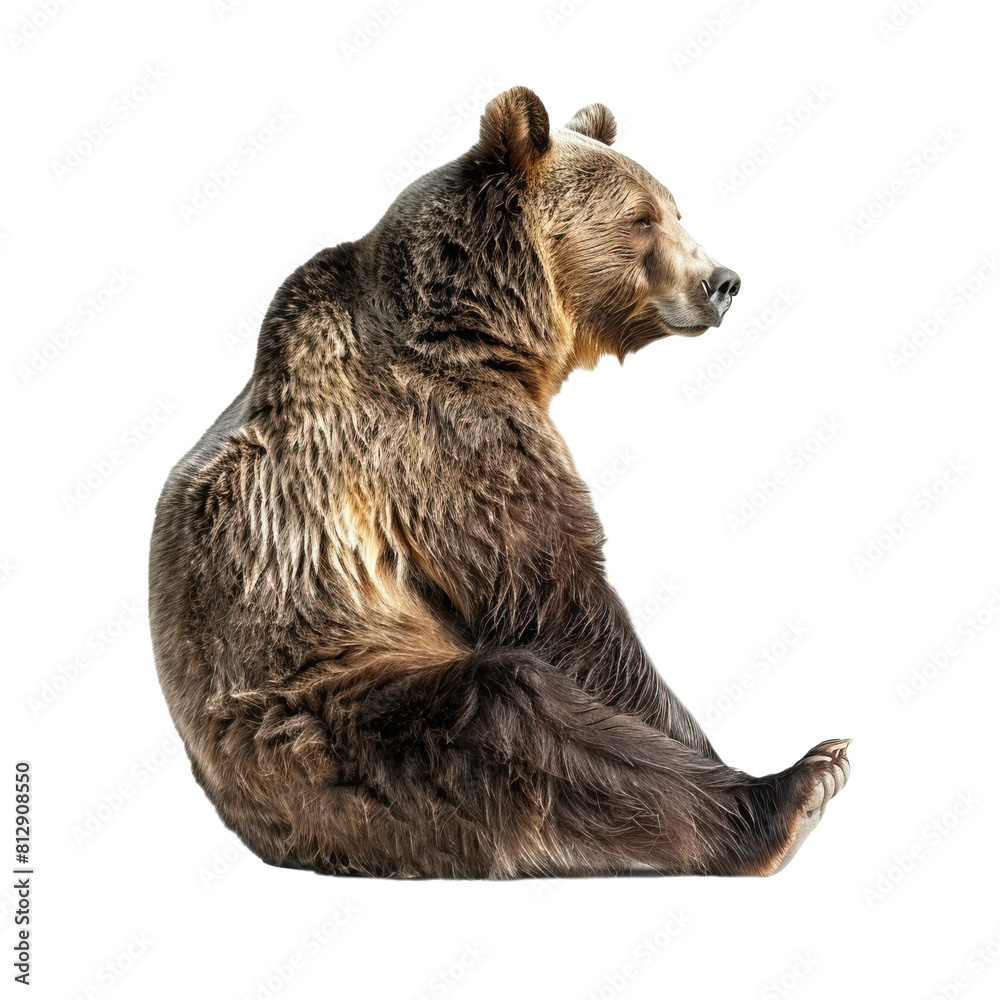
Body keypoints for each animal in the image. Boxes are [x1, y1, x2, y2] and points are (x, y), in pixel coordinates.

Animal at [149, 86, 849, 879]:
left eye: (677, 208)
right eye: (643, 217)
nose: (723, 281)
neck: (483, 331)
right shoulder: (448, 439)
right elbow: (555, 598)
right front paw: (714, 749)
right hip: (323, 717)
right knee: (511, 712)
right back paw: (791, 793)